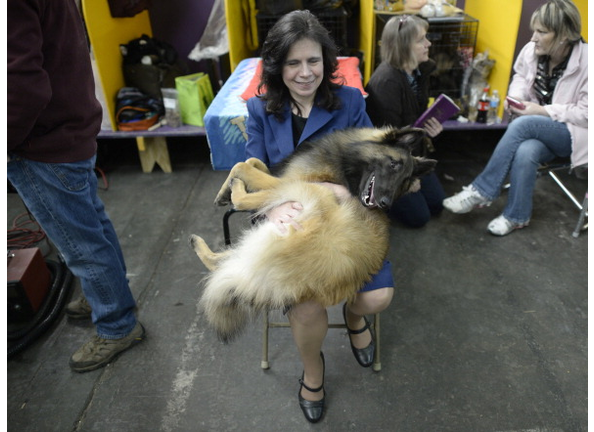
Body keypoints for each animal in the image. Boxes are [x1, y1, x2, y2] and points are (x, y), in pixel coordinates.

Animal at [191, 125, 434, 340]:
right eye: (394, 164)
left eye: (404, 180)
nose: (385, 204)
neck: (345, 163)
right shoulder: (282, 176)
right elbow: (255, 161)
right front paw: (224, 190)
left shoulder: (288, 180)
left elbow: (242, 165)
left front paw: (229, 187)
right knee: (218, 261)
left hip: (312, 191)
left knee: (242, 200)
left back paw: (234, 191)